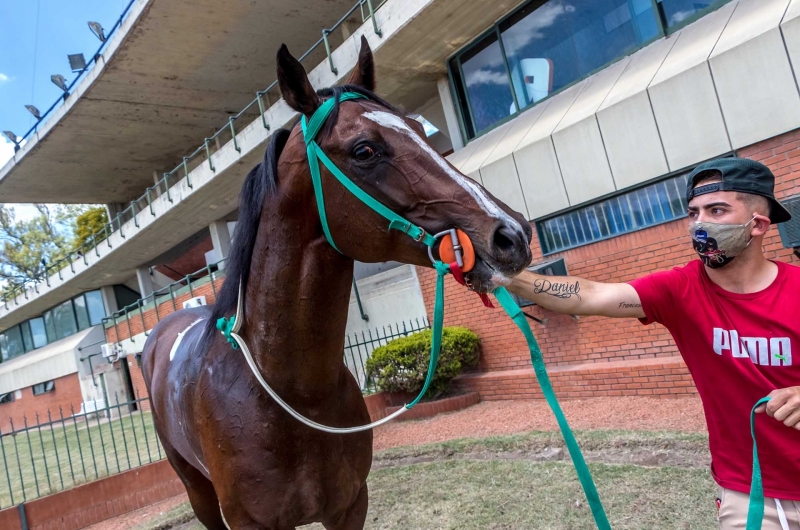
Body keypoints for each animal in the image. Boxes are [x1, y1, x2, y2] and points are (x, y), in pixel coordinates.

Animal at [141, 38, 536, 528]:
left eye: (418, 128)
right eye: (364, 150)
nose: (512, 234)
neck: (292, 396)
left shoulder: (350, 505)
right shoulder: (250, 521)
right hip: (197, 490)